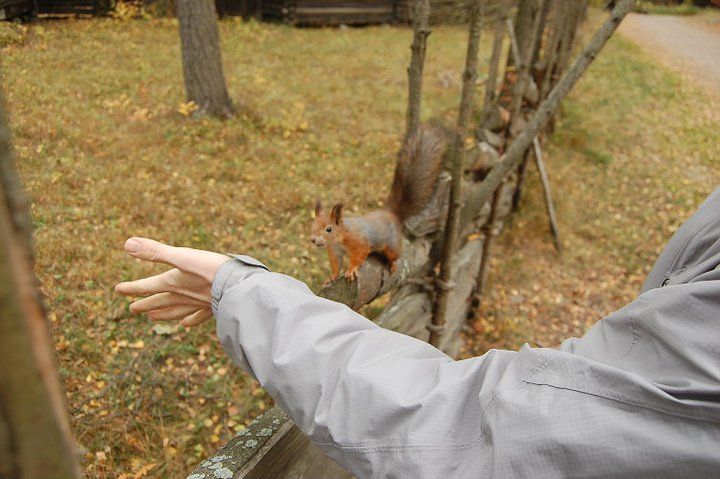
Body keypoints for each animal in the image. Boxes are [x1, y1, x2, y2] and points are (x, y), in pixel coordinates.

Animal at [310, 124, 447, 283]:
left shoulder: (359, 242)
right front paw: (332, 277)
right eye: (313, 225)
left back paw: (392, 264)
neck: (340, 238)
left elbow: (359, 256)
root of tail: (392, 214)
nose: (312, 239)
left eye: (329, 229)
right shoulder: (335, 252)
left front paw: (351, 270)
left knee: (395, 256)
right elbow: (335, 265)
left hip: (392, 246)